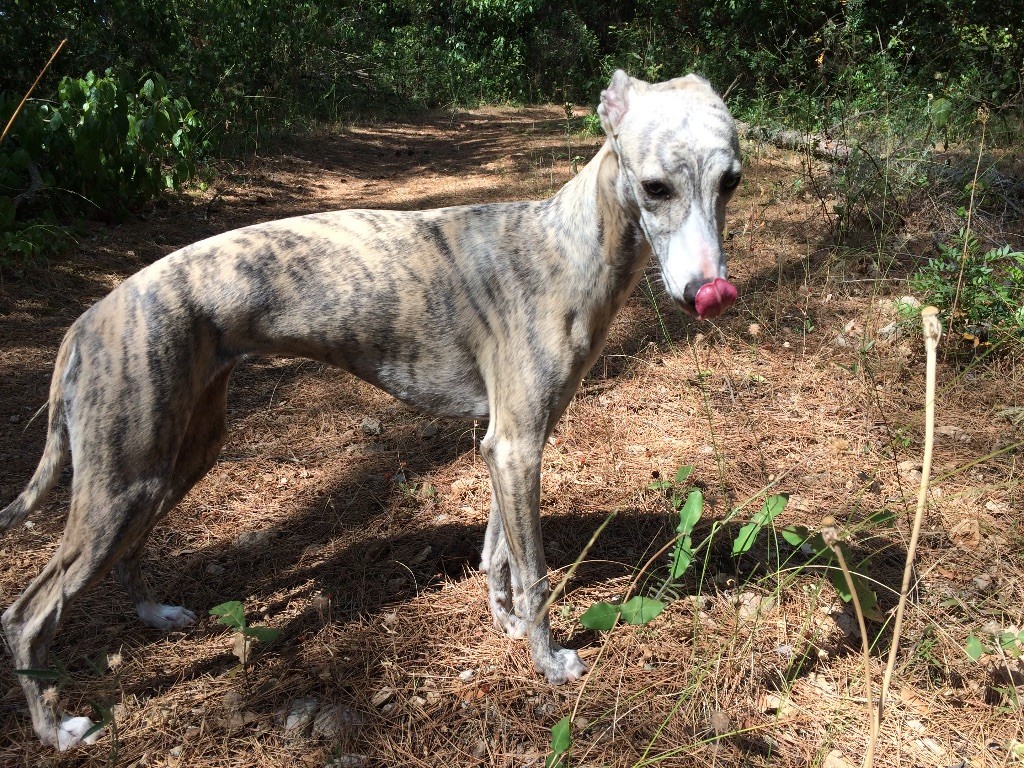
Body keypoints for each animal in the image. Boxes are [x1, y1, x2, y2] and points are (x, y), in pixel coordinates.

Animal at [0, 72, 737, 753]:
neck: (565, 244)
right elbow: (532, 572)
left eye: (730, 181)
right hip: (121, 483)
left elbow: (497, 550)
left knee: (130, 552)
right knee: (26, 615)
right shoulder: (517, 445)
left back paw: (155, 614)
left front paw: (504, 624)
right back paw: (56, 728)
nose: (709, 292)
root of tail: (86, 324)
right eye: (654, 187)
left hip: (173, 460)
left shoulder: (505, 444)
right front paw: (549, 661)